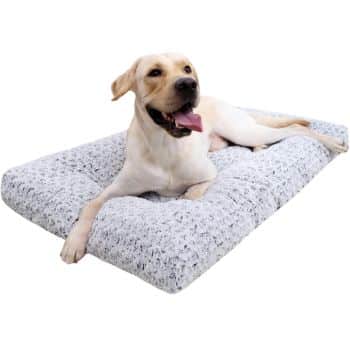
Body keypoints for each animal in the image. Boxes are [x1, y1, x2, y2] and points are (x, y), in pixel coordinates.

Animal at [60, 52, 348, 262]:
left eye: (187, 68)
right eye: (154, 72)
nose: (189, 84)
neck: (166, 145)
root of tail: (227, 102)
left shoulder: (209, 172)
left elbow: (197, 190)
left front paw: (189, 195)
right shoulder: (115, 189)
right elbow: (91, 205)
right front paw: (73, 243)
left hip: (244, 130)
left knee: (296, 129)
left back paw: (331, 141)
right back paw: (261, 149)